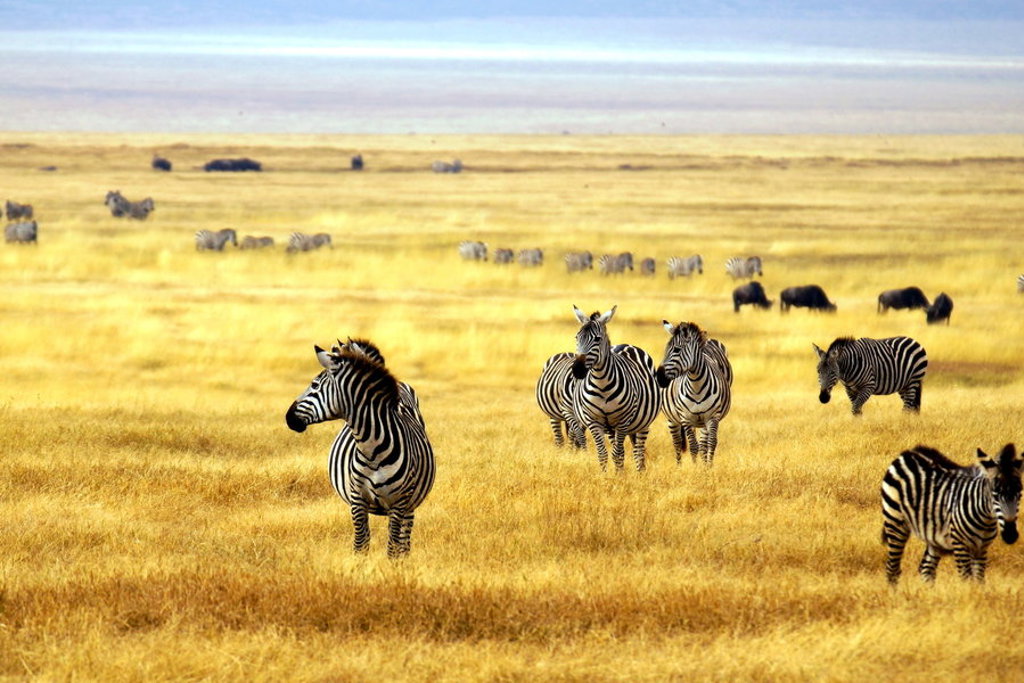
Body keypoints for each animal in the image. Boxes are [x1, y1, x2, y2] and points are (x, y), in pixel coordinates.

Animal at [285, 344, 435, 558]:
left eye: (314, 385)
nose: (288, 417)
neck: (373, 450)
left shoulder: (398, 502)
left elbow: (392, 547)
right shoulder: (357, 499)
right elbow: (360, 543)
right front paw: (359, 566)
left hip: (410, 504)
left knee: (404, 541)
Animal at [570, 305, 661, 471]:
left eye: (597, 339)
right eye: (577, 337)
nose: (578, 370)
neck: (602, 385)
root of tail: (626, 345)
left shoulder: (623, 421)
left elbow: (618, 454)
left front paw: (619, 476)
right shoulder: (594, 421)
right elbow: (603, 454)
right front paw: (605, 475)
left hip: (643, 423)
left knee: (638, 451)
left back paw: (640, 472)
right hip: (611, 427)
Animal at [656, 321, 733, 465]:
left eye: (677, 350)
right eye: (665, 350)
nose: (659, 378)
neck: (696, 385)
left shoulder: (713, 417)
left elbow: (711, 443)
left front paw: (708, 467)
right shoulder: (686, 418)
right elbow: (692, 446)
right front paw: (695, 467)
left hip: (702, 421)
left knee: (703, 443)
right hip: (672, 418)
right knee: (677, 443)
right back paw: (679, 467)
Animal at [881, 443, 1021, 584]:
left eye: (1020, 494)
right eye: (995, 495)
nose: (1010, 535)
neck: (985, 520)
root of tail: (910, 452)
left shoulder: (981, 548)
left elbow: (979, 581)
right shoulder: (960, 545)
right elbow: (966, 579)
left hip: (934, 537)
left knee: (926, 568)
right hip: (895, 522)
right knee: (892, 568)